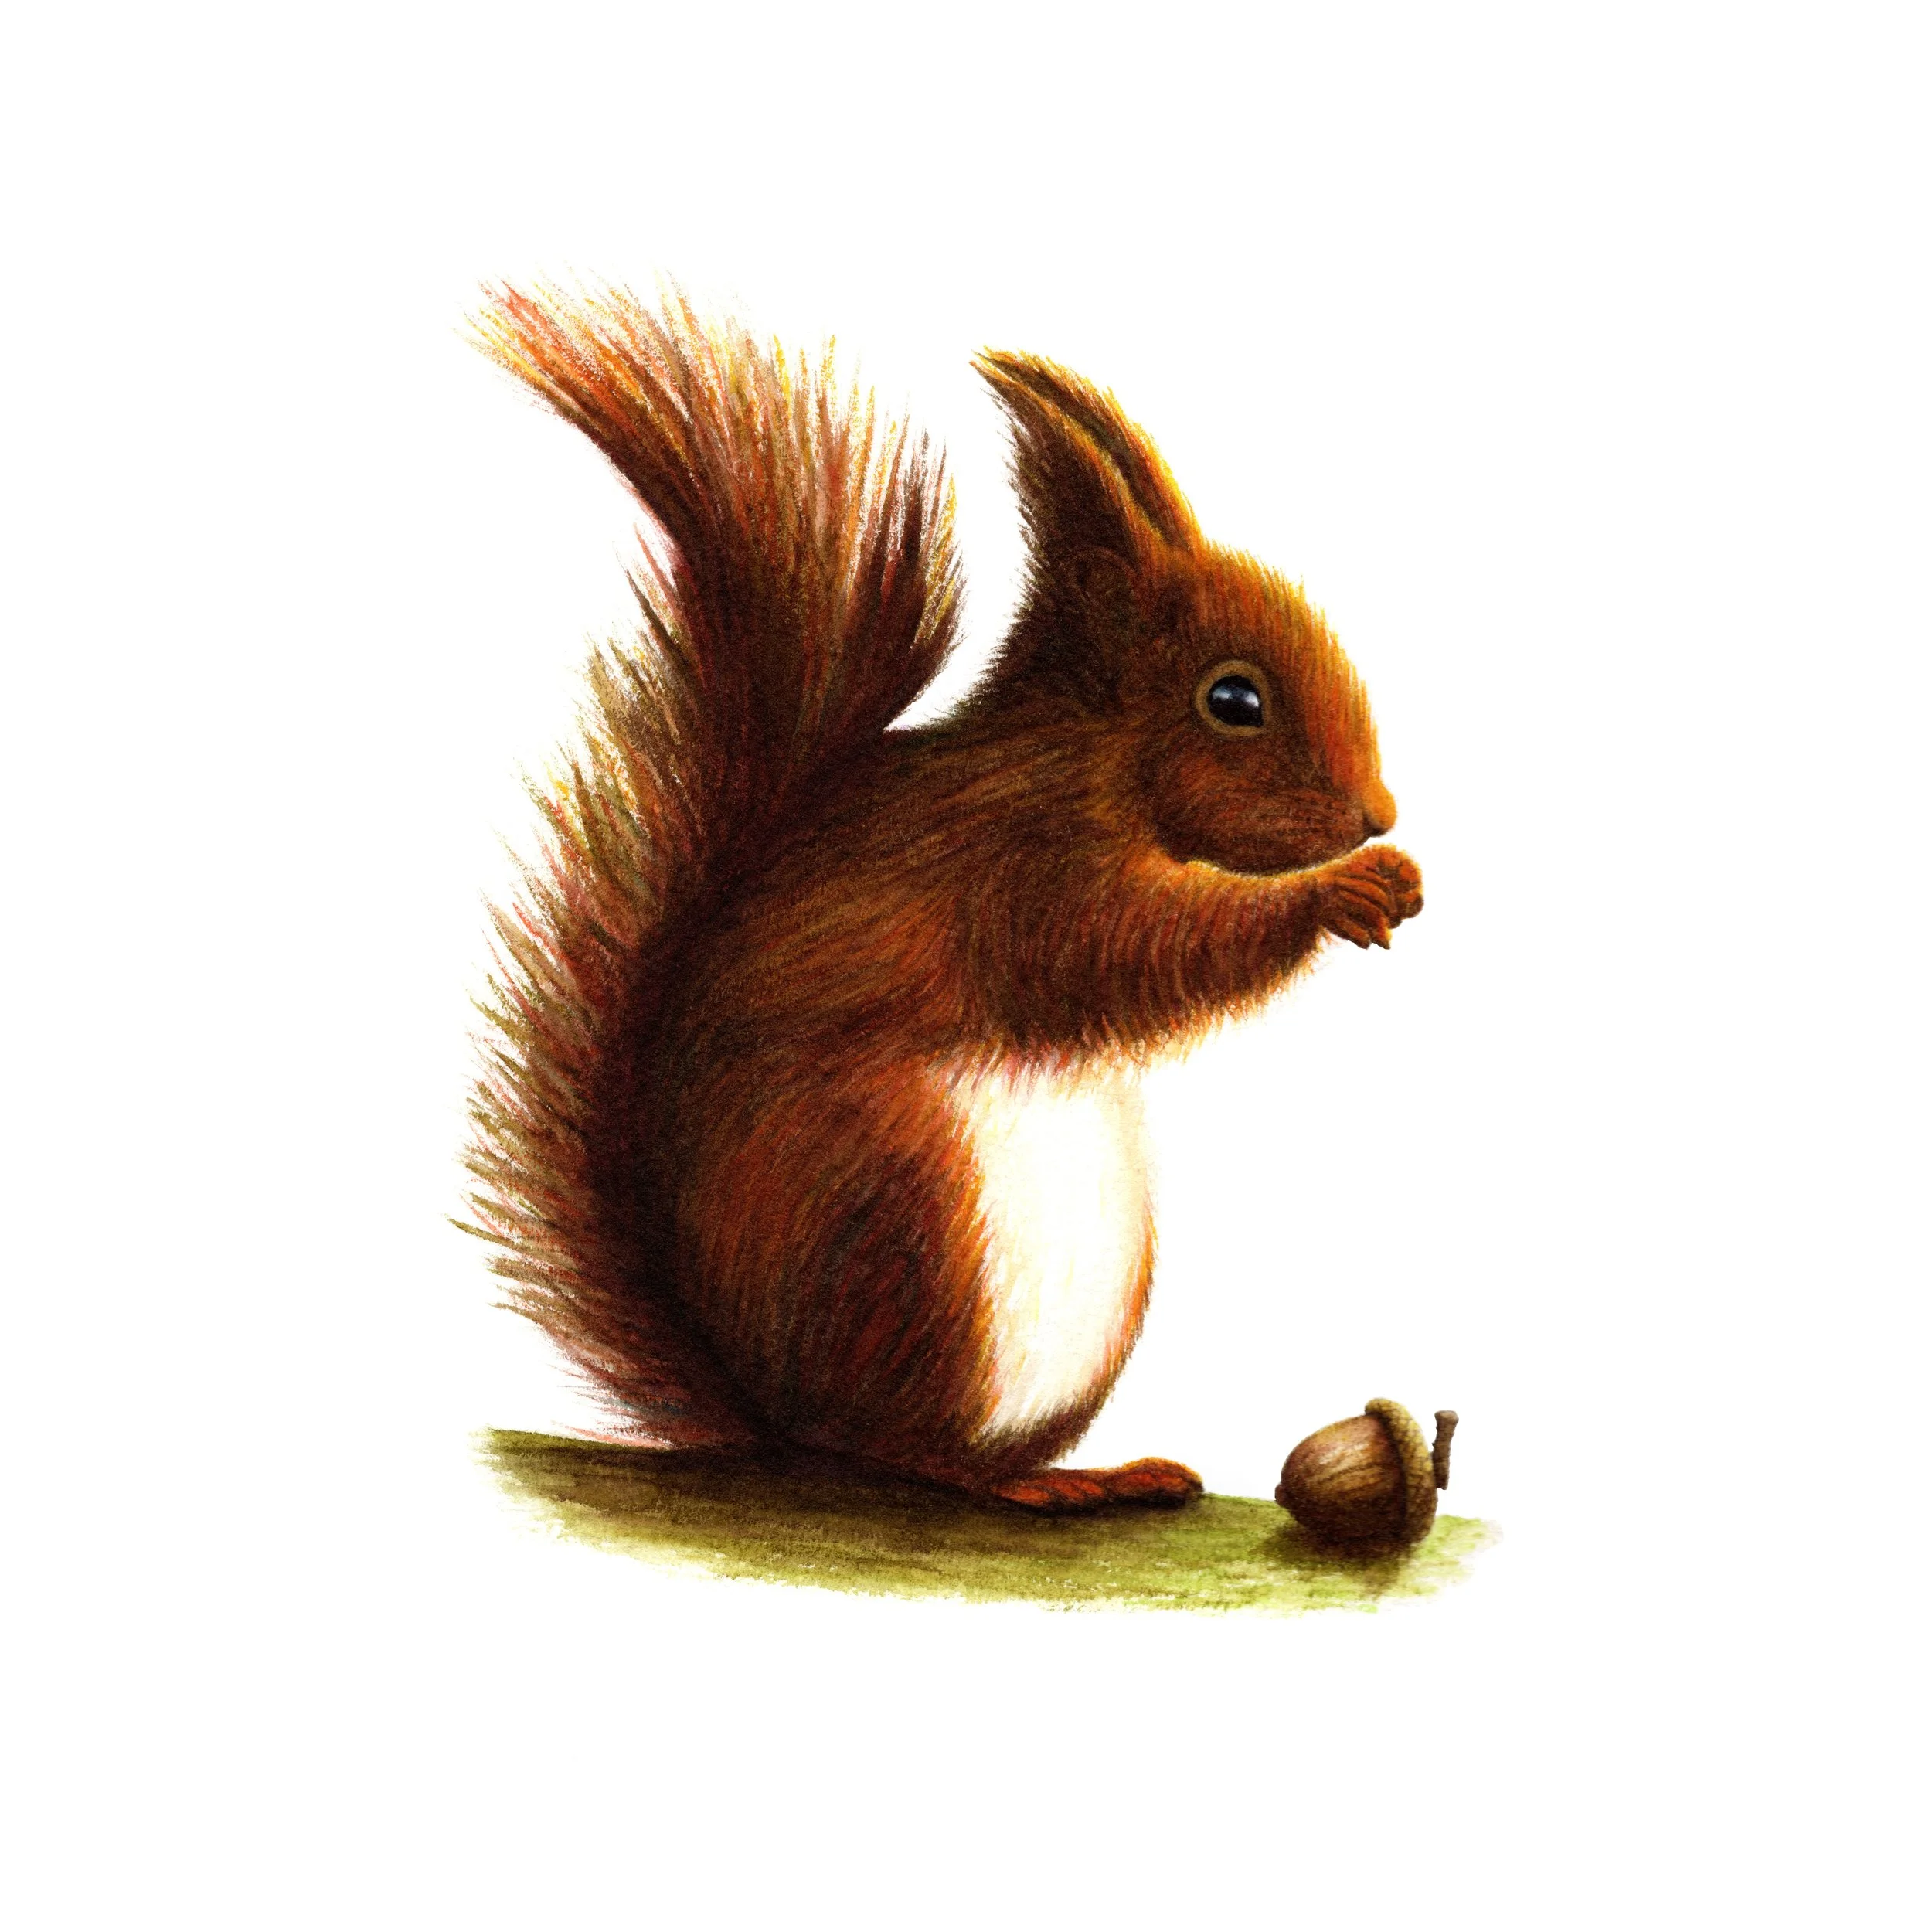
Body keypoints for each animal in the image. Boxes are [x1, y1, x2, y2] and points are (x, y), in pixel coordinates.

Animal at [464, 285, 1423, 1514]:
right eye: (1234, 700)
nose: (1377, 814)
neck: (1087, 754)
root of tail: (766, 1415)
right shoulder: (1017, 866)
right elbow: (1135, 947)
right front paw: (1341, 891)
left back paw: (1108, 1471)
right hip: (907, 1222)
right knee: (894, 1448)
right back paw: (1023, 1484)